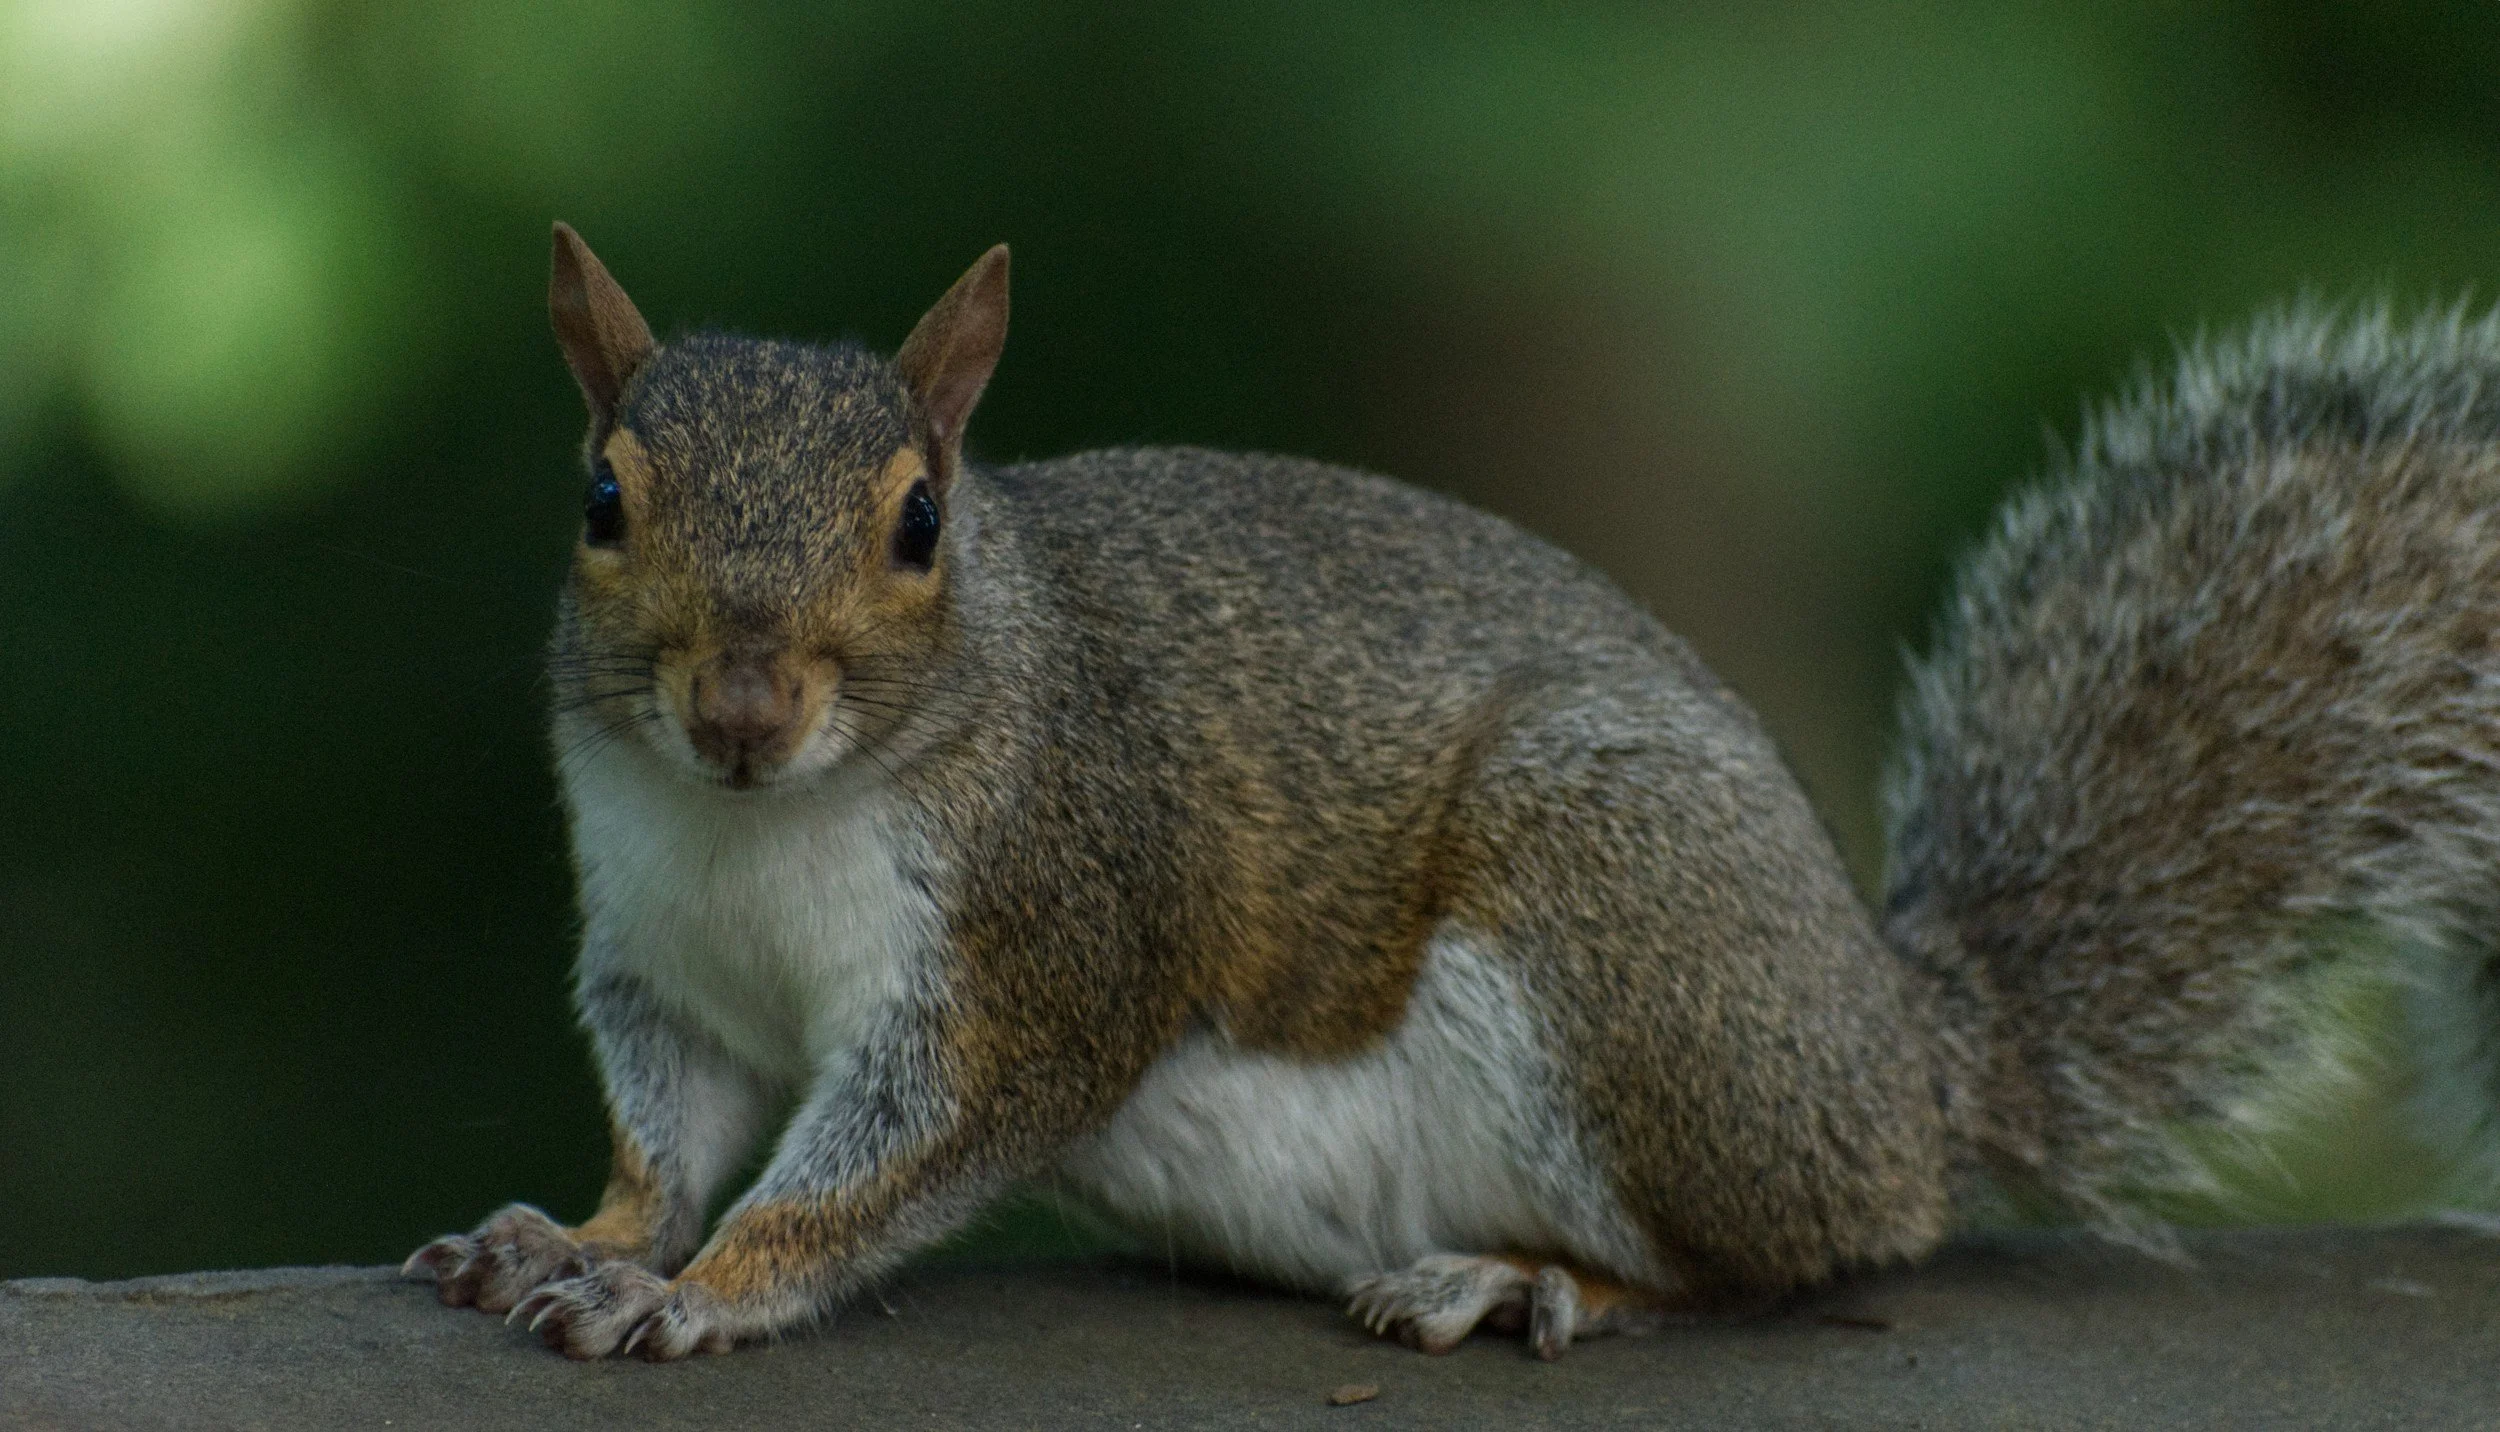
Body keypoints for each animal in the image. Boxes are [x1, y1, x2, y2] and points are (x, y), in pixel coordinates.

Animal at [405, 223, 2500, 1361]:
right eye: (602, 496)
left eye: (921, 522)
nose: (743, 705)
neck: (758, 829)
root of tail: (1907, 1066)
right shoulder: (662, 956)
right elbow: (670, 1129)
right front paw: (582, 1240)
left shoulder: (1044, 936)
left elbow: (885, 1155)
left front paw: (707, 1290)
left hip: (1616, 939)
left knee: (1776, 1265)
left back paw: (1527, 1284)